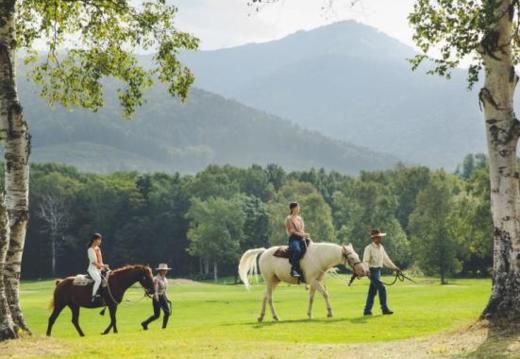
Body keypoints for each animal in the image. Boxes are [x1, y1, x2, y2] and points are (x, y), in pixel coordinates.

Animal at [240, 242, 370, 324]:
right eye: (351, 258)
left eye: (357, 255)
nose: (363, 271)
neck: (319, 257)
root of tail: (264, 251)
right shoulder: (314, 281)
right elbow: (325, 294)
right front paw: (329, 313)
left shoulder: (314, 282)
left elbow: (311, 298)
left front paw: (309, 314)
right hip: (269, 280)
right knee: (269, 298)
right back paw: (275, 317)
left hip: (274, 282)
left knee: (265, 296)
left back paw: (261, 317)